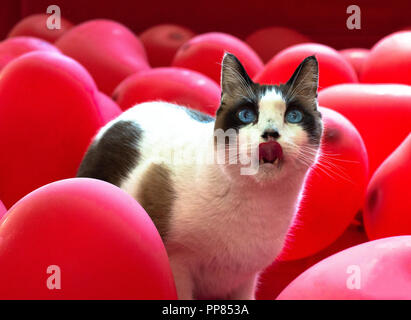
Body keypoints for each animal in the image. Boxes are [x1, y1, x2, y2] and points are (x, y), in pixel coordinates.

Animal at [76, 53, 322, 300]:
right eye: (246, 115)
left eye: (293, 116)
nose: (271, 133)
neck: (259, 202)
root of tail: (123, 115)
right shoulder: (178, 265)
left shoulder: (245, 280)